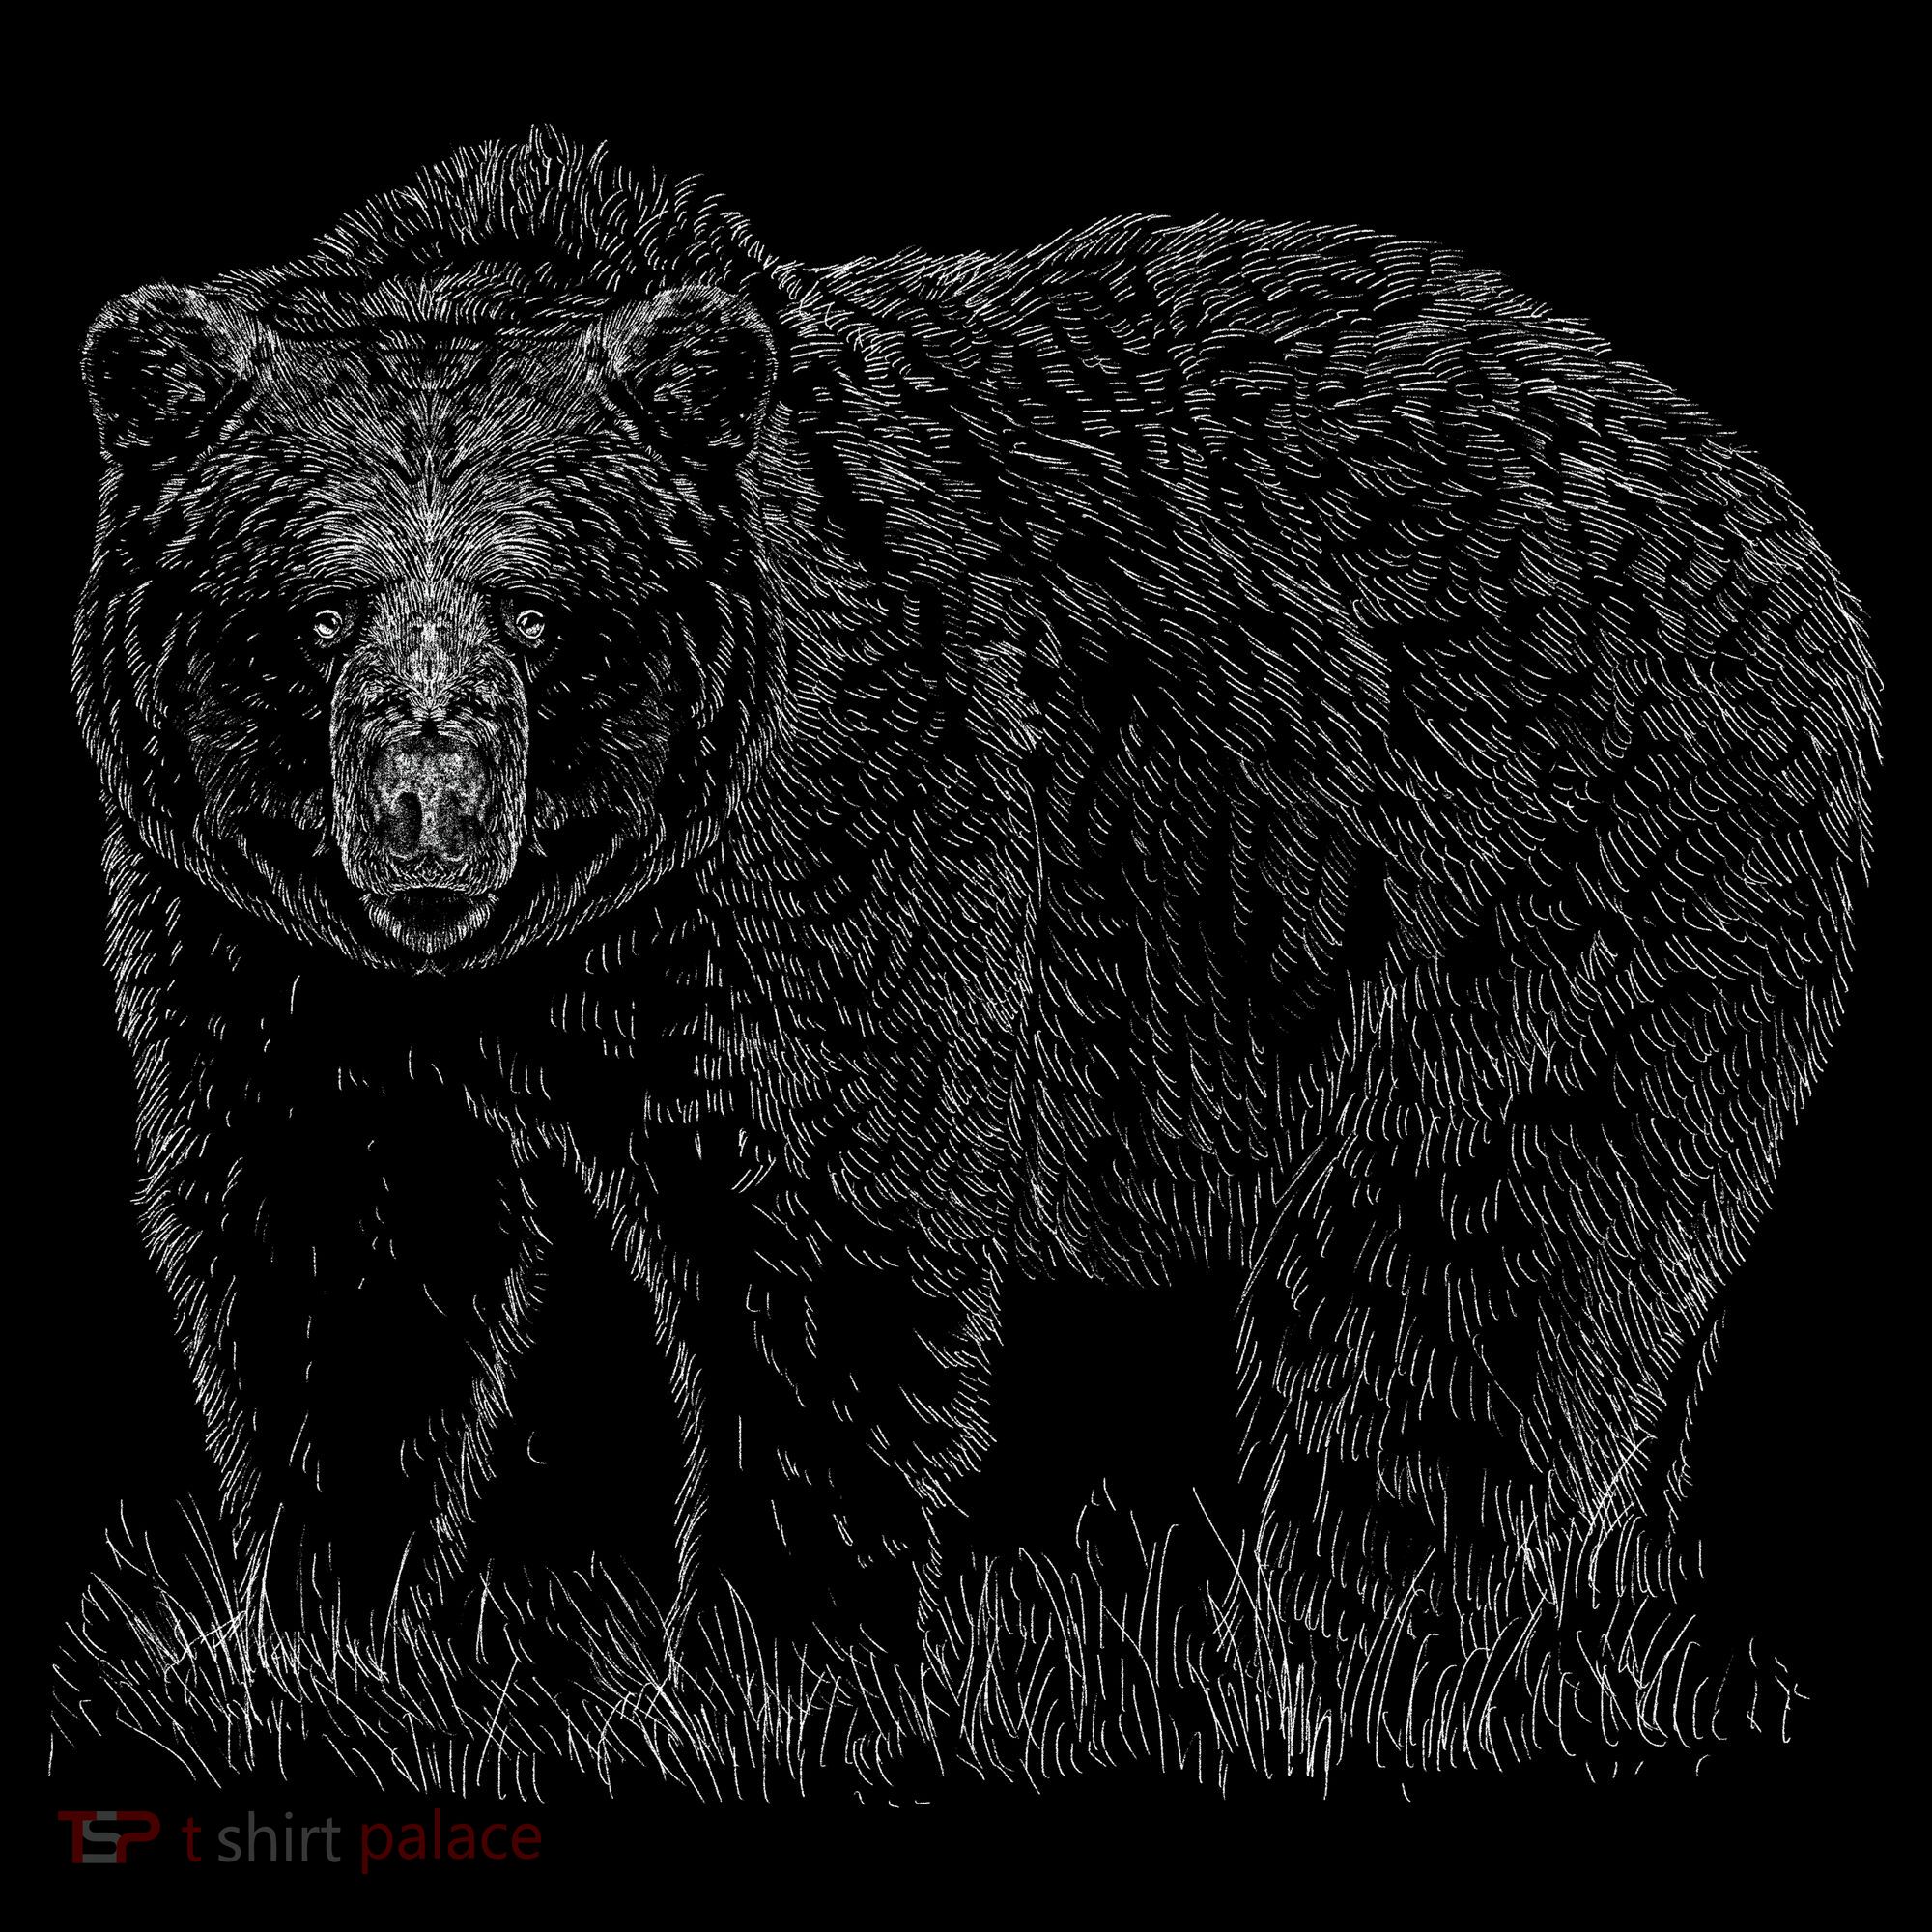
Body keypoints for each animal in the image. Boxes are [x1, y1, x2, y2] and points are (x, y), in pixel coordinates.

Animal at [74, 127, 1875, 1669]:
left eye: (532, 612)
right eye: (324, 611)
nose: (429, 822)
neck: (551, 949)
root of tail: (1770, 516)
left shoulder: (836, 823)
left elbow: (828, 1230)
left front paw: (769, 1648)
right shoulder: (272, 946)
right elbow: (334, 1237)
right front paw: (320, 1615)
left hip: (1546, 871)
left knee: (1466, 1271)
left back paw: (1357, 1624)